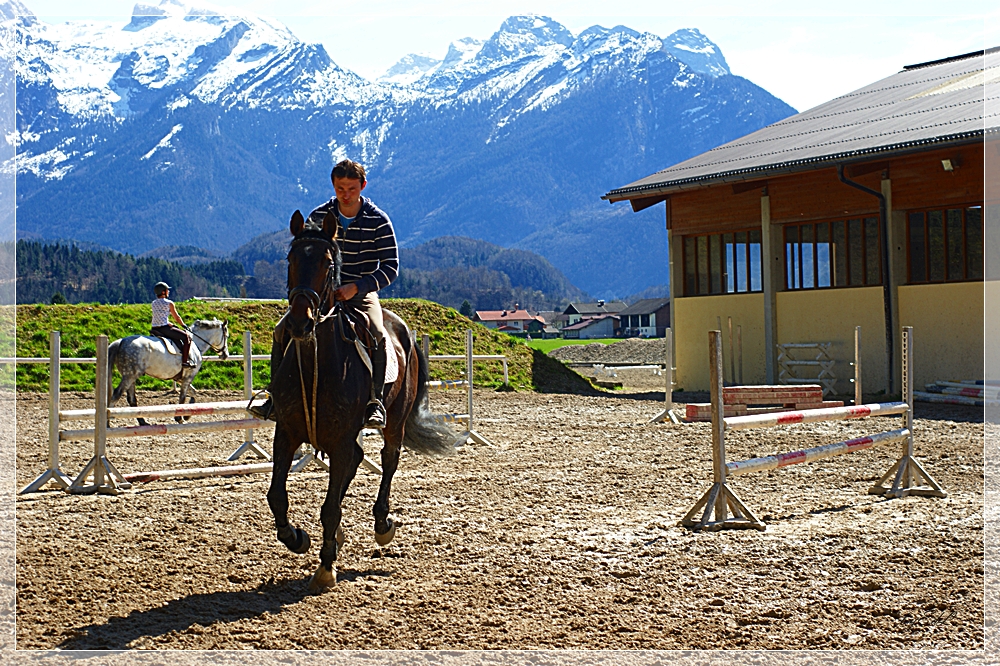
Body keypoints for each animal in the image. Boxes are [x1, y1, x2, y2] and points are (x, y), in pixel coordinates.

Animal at [268, 209, 466, 592]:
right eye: (291, 259)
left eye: (328, 263)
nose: (300, 322)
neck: (315, 360)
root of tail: (404, 330)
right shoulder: (287, 433)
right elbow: (276, 498)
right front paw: (297, 538)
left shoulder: (342, 439)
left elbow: (329, 508)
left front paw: (325, 567)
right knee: (358, 462)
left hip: (394, 422)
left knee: (388, 461)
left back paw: (382, 525)